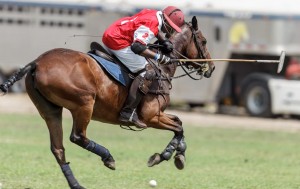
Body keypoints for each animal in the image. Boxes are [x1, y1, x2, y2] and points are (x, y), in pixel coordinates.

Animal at [0, 16, 216, 189]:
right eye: (204, 41)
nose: (211, 68)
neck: (161, 67)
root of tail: (36, 62)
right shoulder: (150, 117)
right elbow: (178, 127)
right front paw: (167, 156)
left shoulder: (158, 114)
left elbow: (179, 123)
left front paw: (177, 155)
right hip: (84, 103)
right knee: (77, 137)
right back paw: (108, 157)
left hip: (51, 110)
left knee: (58, 148)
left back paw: (77, 184)